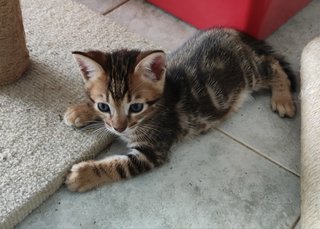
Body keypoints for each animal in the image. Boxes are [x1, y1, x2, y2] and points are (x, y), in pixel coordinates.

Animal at [64, 28, 296, 191]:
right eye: (103, 106)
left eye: (136, 107)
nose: (119, 128)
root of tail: (231, 32)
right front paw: (80, 111)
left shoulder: (151, 151)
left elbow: (118, 165)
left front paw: (83, 174)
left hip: (250, 75)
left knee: (272, 63)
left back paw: (283, 99)